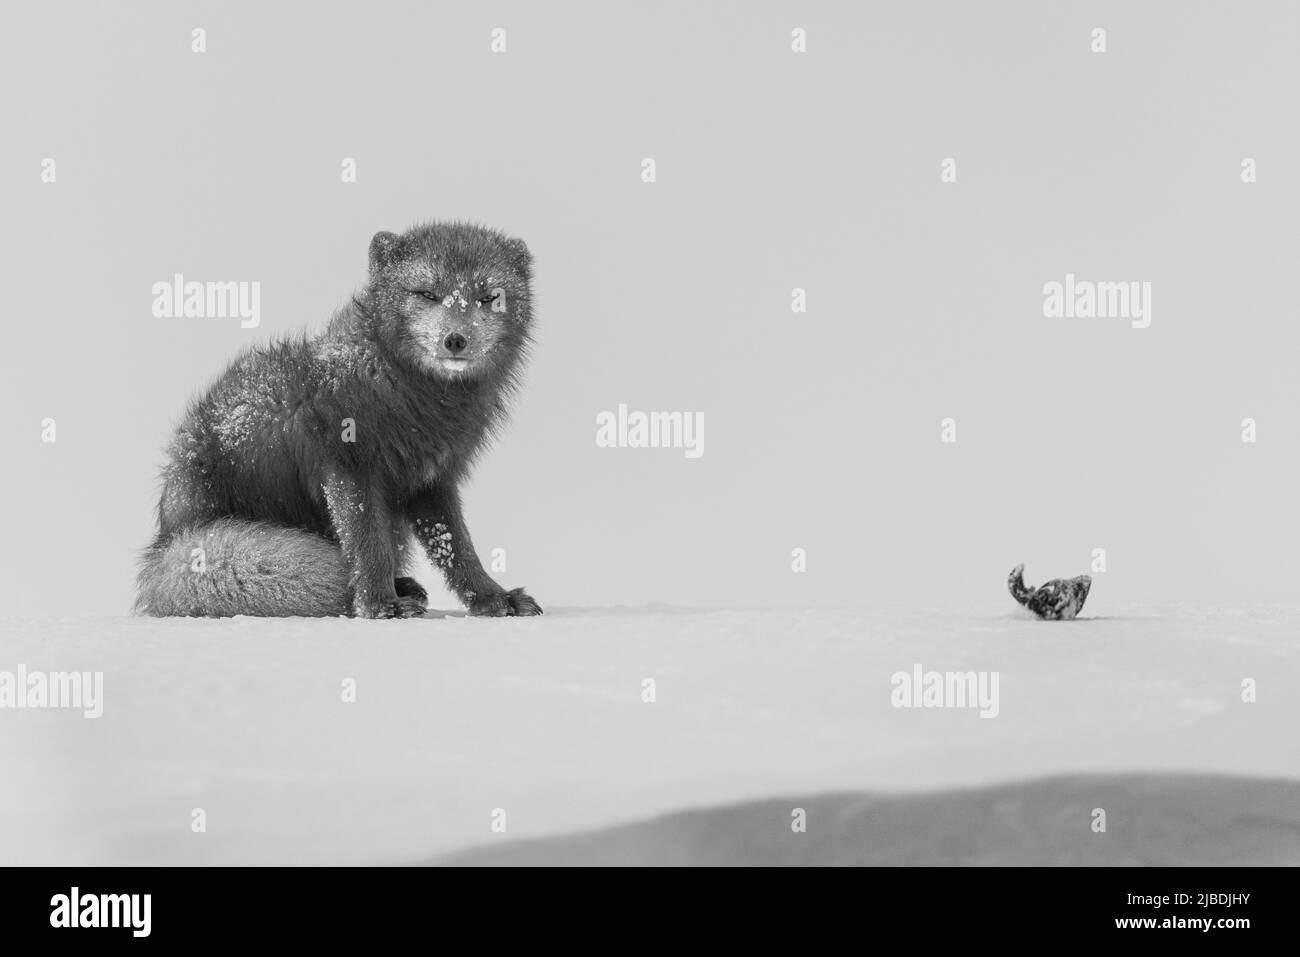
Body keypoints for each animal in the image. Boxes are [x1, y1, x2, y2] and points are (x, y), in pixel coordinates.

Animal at [139, 221, 546, 616]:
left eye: (488, 297)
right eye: (427, 294)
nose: (456, 339)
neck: (416, 400)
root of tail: (165, 543)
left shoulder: (433, 479)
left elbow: (457, 548)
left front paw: (493, 599)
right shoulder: (348, 466)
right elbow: (368, 545)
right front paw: (378, 605)